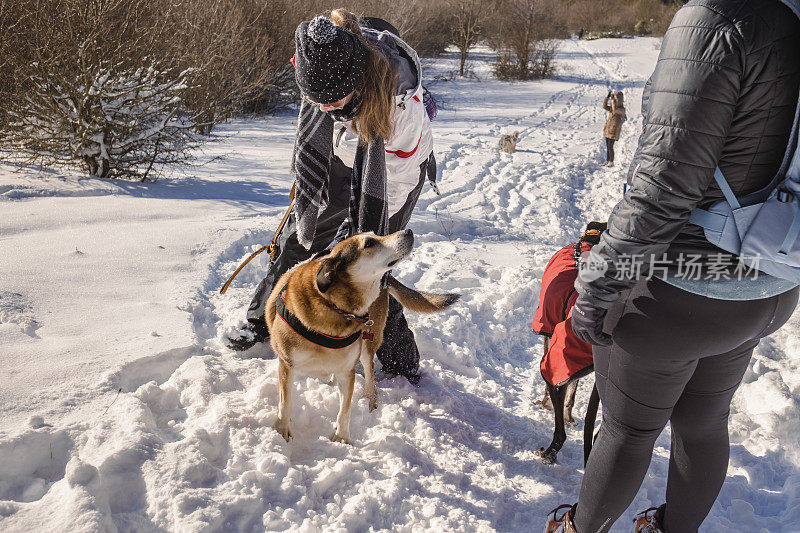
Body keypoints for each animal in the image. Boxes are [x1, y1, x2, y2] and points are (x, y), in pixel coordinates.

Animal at [268, 231, 460, 442]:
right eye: (369, 243)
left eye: (376, 235)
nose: (408, 231)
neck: (333, 305)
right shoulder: (287, 364)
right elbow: (285, 403)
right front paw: (282, 432)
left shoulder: (348, 370)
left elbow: (345, 409)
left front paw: (342, 439)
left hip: (368, 343)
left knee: (369, 374)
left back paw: (370, 400)